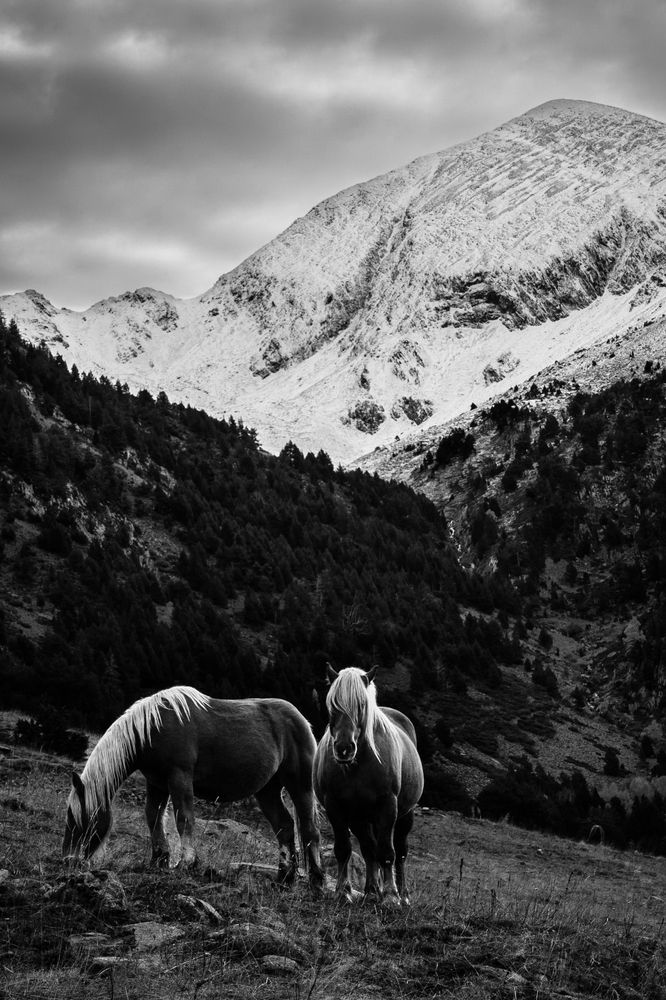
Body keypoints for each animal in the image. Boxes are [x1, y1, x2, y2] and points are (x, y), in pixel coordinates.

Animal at [62, 685, 324, 889]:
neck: (152, 727)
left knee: (309, 830)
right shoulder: (156, 782)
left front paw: (185, 863)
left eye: (78, 818)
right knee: (285, 826)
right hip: (267, 790)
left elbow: (183, 818)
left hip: (300, 786)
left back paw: (317, 883)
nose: (68, 860)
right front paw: (159, 860)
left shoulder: (179, 778)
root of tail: (301, 720)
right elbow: (153, 817)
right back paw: (284, 879)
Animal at [313, 665, 424, 905]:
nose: (344, 748)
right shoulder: (335, 806)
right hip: (360, 818)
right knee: (368, 848)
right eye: (332, 705)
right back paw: (372, 890)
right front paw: (343, 891)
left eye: (361, 706)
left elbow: (388, 852)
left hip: (405, 815)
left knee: (400, 852)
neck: (358, 764)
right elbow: (344, 849)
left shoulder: (388, 806)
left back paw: (402, 895)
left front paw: (390, 897)